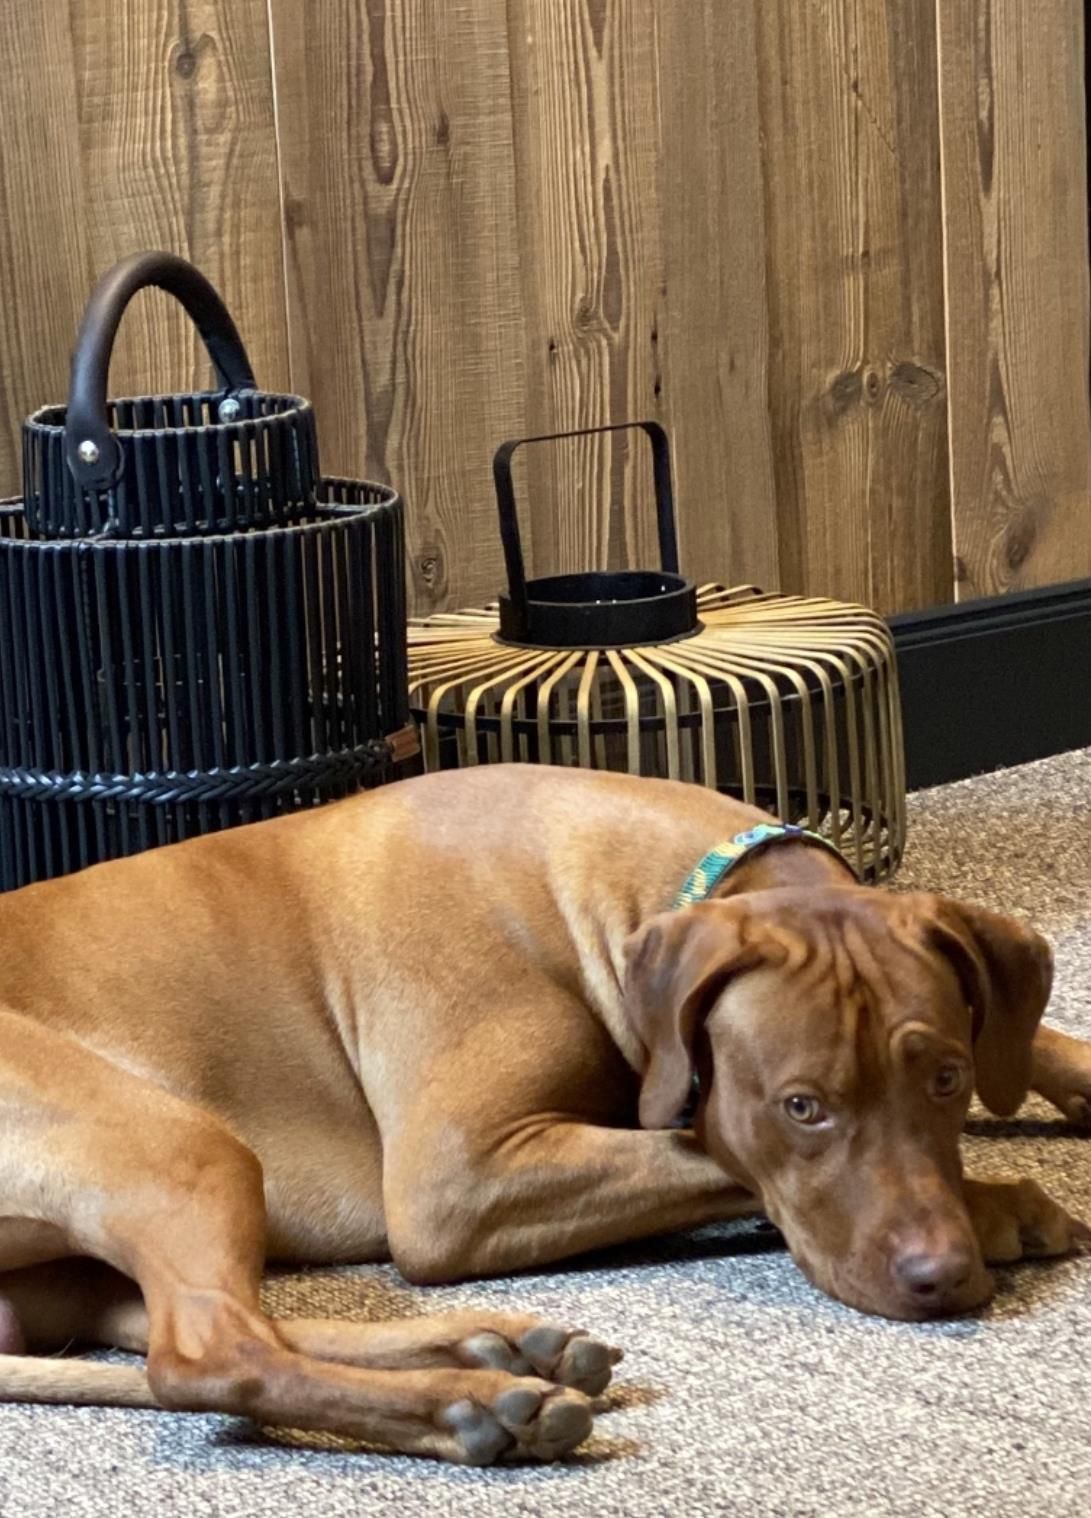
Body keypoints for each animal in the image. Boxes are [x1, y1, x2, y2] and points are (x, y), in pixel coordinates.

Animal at [0, 763, 1086, 1463]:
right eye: (801, 1107)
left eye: (945, 1080)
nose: (941, 1279)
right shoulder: (458, 1184)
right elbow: (702, 1146)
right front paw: (997, 1203)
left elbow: (1022, 1030)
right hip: (177, 1143)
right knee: (204, 1354)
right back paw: (467, 1405)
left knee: (167, 1325)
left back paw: (497, 1348)